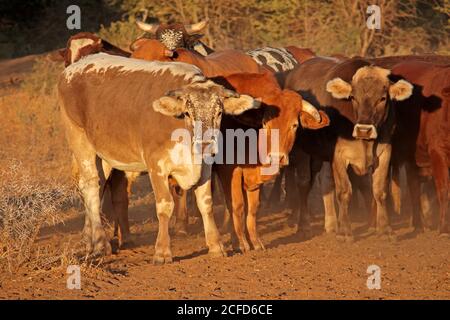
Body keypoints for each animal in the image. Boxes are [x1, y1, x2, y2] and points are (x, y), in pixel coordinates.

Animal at [58, 52, 260, 262]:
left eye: (219, 112)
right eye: (187, 113)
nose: (206, 145)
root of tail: (74, 68)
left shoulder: (205, 166)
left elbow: (206, 203)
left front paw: (215, 245)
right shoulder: (157, 165)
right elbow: (165, 206)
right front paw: (162, 251)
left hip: (105, 153)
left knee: (100, 186)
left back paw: (89, 240)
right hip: (79, 138)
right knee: (90, 185)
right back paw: (99, 243)